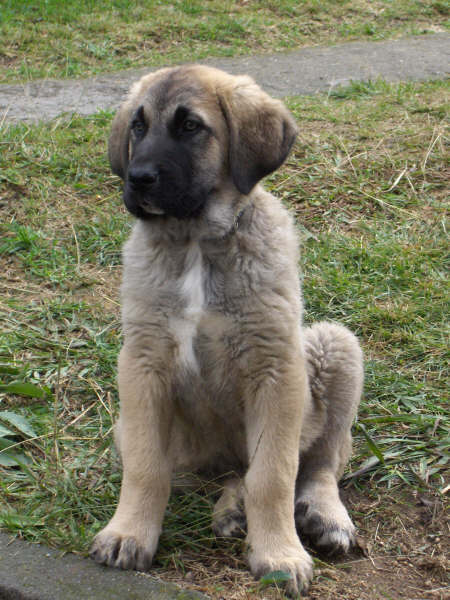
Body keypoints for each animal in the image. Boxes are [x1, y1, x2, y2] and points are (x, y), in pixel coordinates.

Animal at [90, 65, 362, 596]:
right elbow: (146, 469)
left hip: (335, 346)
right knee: (227, 473)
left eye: (191, 126)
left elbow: (274, 475)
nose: (137, 179)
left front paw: (279, 553)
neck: (196, 242)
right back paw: (232, 507)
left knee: (320, 460)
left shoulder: (276, 369)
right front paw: (129, 532)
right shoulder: (142, 363)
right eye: (138, 126)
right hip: (142, 432)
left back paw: (324, 516)